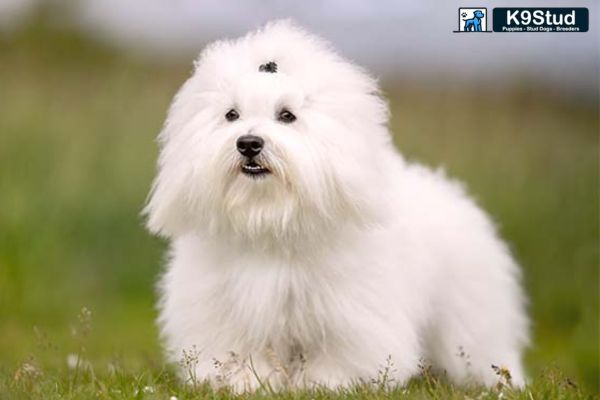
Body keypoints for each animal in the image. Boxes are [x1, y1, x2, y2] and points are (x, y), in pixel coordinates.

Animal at [144, 21, 524, 390]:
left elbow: (339, 353)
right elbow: (243, 348)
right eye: (231, 114)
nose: (248, 143)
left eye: (287, 115)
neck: (271, 218)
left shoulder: (348, 311)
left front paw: (326, 383)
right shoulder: (228, 307)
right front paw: (245, 381)